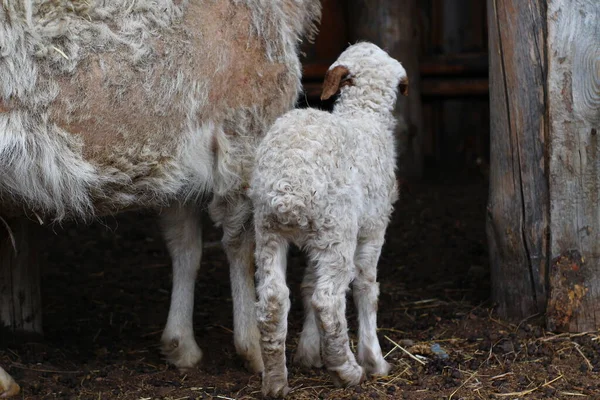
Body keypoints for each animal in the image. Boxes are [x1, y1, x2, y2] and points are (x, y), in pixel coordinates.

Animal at [0, 0, 322, 396]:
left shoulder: (177, 158)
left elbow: (185, 247)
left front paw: (180, 344)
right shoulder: (246, 133)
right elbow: (243, 248)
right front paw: (255, 350)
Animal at [247, 42, 408, 396]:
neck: (364, 116)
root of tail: (288, 188)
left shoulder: (313, 241)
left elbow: (307, 283)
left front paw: (309, 352)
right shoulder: (374, 226)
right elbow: (366, 286)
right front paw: (374, 361)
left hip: (270, 229)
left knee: (274, 300)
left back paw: (275, 381)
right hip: (339, 228)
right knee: (328, 300)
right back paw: (347, 370)